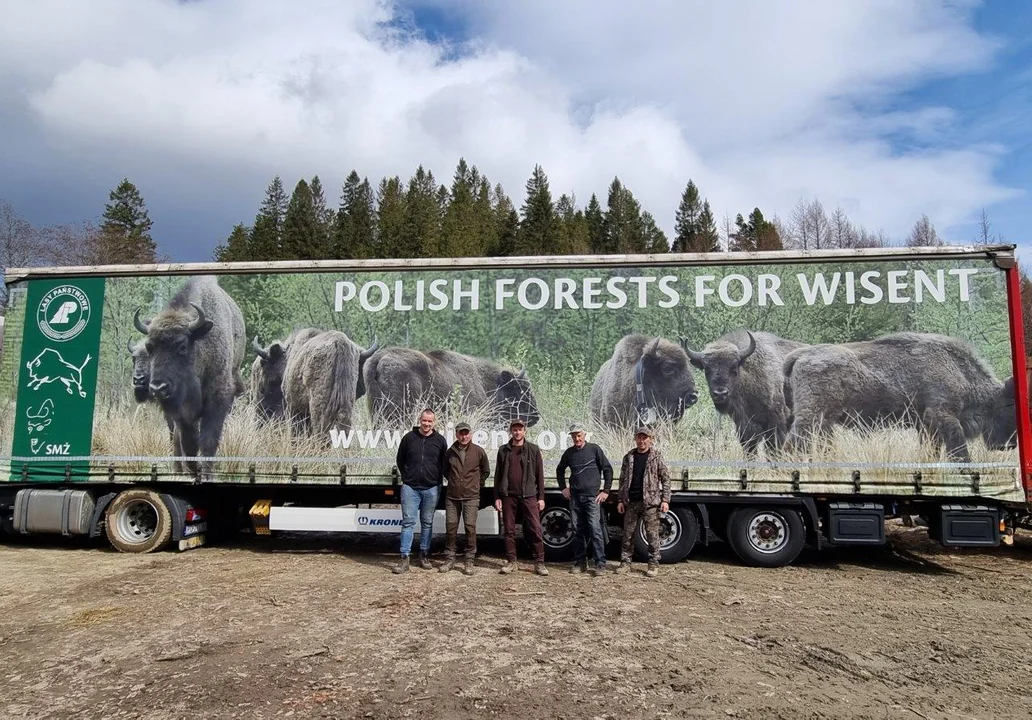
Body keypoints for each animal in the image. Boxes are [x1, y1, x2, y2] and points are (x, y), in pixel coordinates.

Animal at [134, 274, 246, 476]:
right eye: (149, 347)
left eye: (182, 346)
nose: (158, 388)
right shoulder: (182, 412)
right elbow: (189, 443)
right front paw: (193, 470)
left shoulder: (218, 398)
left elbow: (208, 441)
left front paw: (205, 474)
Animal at [780, 330, 1015, 460]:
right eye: (1007, 407)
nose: (1009, 446)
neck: (957, 370)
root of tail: (800, 355)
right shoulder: (943, 416)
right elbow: (959, 452)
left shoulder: (926, 427)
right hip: (811, 417)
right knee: (793, 443)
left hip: (826, 422)